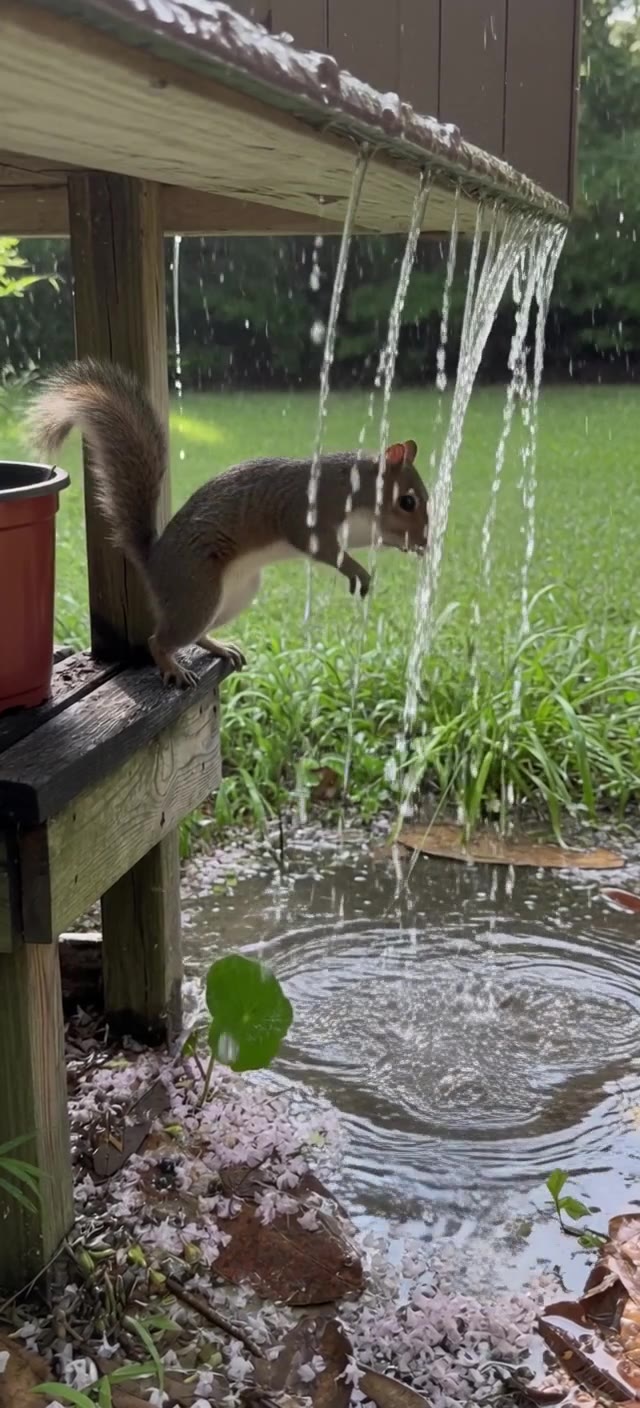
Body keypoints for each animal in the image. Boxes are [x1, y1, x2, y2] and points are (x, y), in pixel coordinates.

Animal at [28, 358, 429, 688]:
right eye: (407, 501)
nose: (425, 543)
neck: (355, 488)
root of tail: (153, 563)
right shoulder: (308, 513)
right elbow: (320, 544)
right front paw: (357, 571)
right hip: (197, 591)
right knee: (161, 639)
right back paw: (172, 667)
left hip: (235, 596)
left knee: (196, 634)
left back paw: (219, 647)